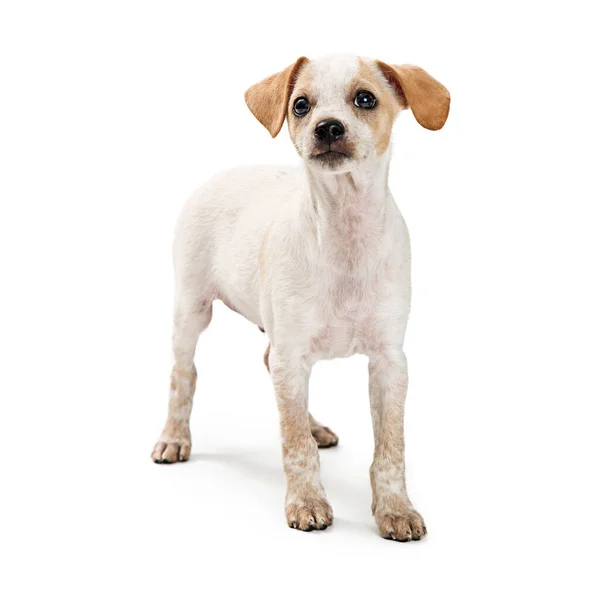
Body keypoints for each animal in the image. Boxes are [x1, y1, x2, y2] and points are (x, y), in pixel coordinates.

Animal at [151, 55, 450, 544]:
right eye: (301, 105)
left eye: (365, 98)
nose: (327, 127)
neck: (346, 234)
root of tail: (223, 172)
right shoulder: (293, 356)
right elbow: (294, 444)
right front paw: (307, 503)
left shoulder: (389, 362)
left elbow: (391, 447)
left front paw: (395, 509)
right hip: (191, 310)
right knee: (184, 376)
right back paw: (175, 438)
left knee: (269, 367)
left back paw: (316, 425)